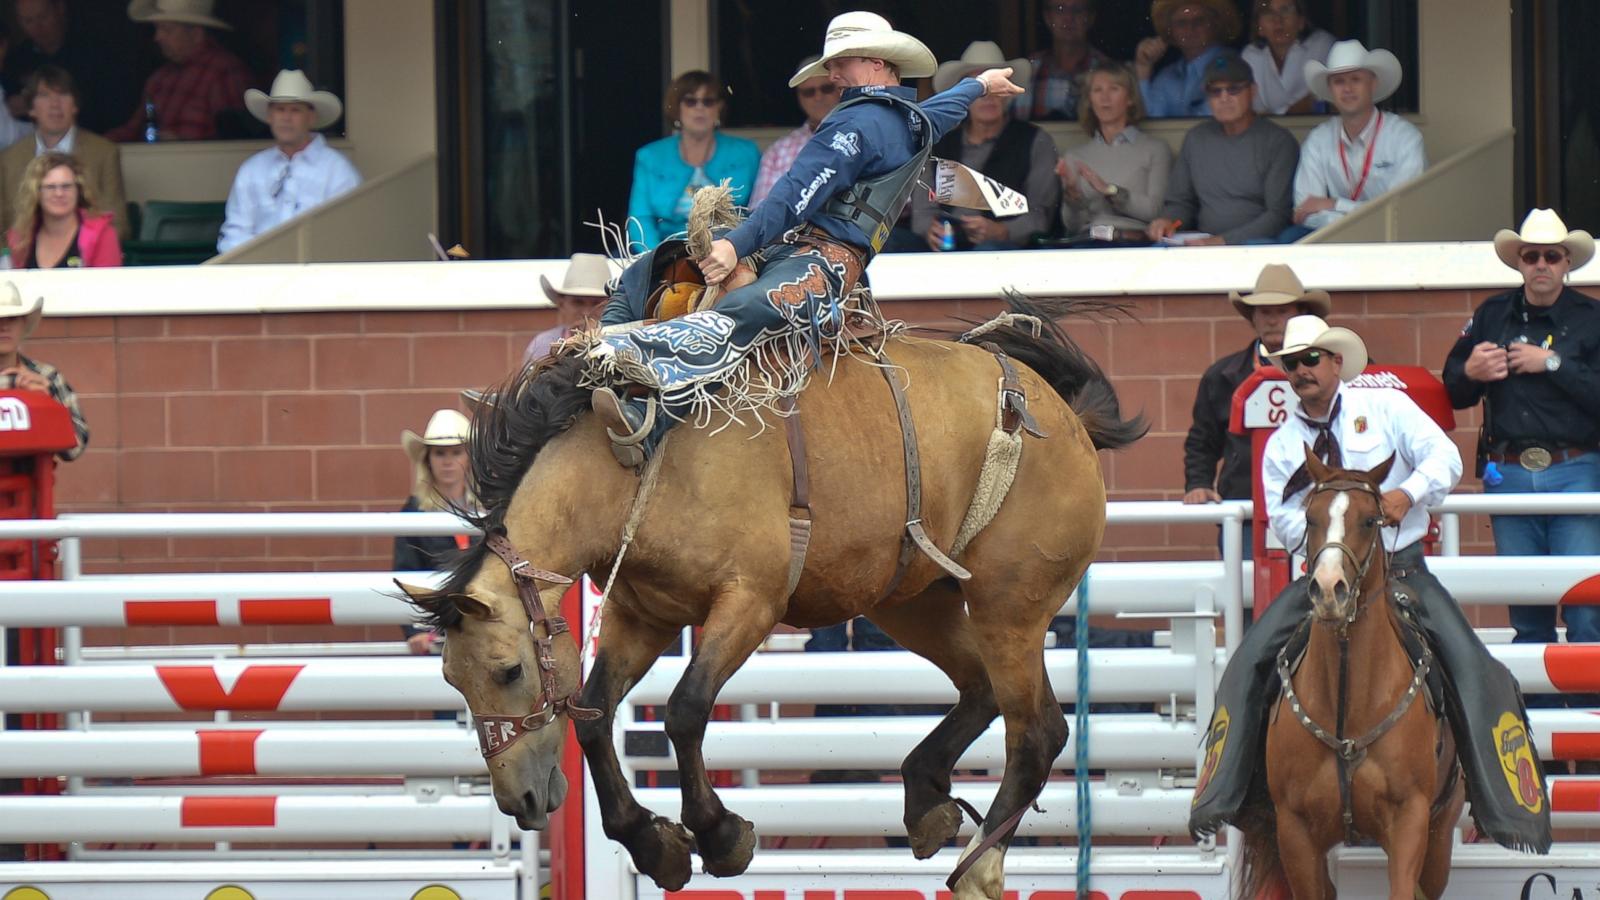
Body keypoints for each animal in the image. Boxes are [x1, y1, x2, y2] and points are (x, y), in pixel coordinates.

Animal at [400, 291, 1152, 890]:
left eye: (508, 670)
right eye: (452, 679)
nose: (520, 802)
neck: (636, 461)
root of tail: (1061, 413)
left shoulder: (751, 603)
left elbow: (685, 710)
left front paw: (719, 835)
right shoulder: (641, 616)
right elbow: (592, 712)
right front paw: (655, 845)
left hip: (1009, 604)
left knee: (1035, 732)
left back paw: (977, 869)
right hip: (913, 600)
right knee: (987, 693)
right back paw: (925, 800)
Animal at [1241, 451, 1465, 890]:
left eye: (1370, 520)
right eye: (1310, 517)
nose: (1330, 590)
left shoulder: (1410, 821)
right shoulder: (1294, 833)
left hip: (1441, 837)